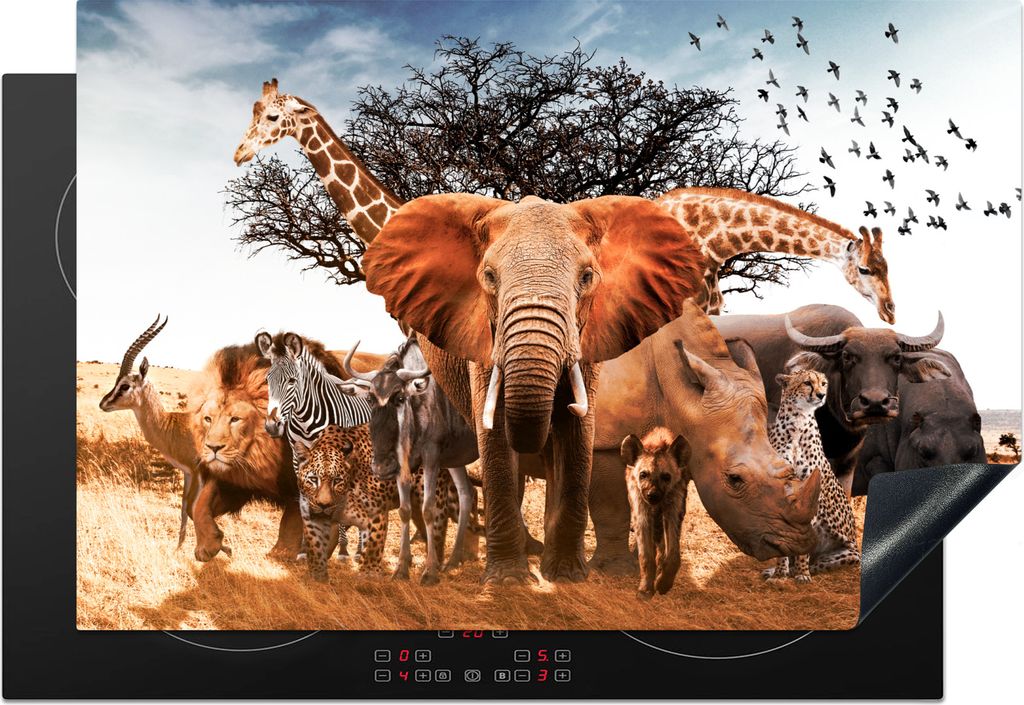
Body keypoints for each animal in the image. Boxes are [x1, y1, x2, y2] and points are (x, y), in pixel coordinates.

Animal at [363, 193, 705, 584]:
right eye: (489, 277)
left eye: (586, 277)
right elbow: (496, 435)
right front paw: (509, 581)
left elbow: (577, 435)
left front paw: (567, 576)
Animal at [588, 300, 822, 574]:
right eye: (734, 479)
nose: (799, 544)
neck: (677, 390)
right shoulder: (604, 440)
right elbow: (611, 507)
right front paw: (617, 571)